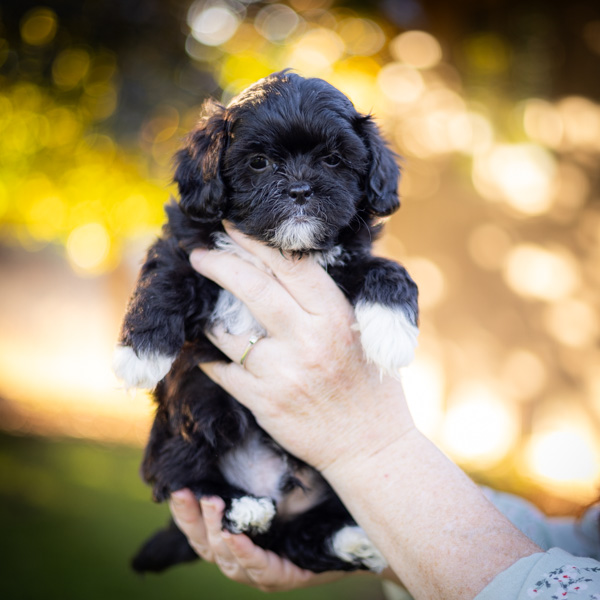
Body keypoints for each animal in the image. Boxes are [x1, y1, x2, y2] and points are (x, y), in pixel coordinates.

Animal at [115, 72, 420, 576]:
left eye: (333, 160)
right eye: (259, 163)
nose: (299, 190)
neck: (282, 251)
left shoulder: (345, 260)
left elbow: (387, 268)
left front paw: (393, 332)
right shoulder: (190, 245)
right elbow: (165, 278)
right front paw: (140, 354)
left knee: (296, 538)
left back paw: (352, 541)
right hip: (182, 428)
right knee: (182, 480)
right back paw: (244, 506)